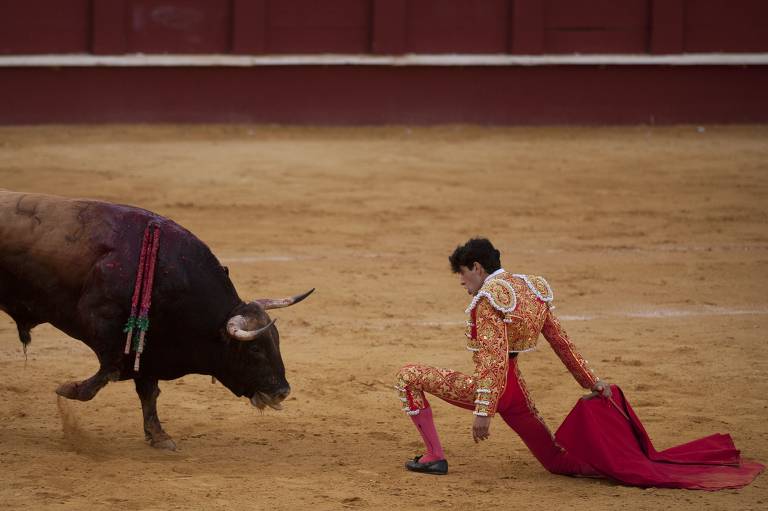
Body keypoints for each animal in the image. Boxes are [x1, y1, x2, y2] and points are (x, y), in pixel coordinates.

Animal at [0, 190, 312, 450]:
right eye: (255, 349)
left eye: (276, 342)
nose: (283, 391)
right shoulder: (103, 326)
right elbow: (109, 373)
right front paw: (67, 388)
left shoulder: (149, 348)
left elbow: (148, 392)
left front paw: (159, 436)